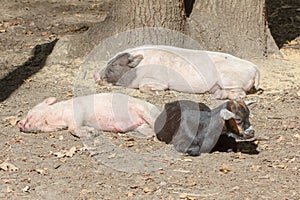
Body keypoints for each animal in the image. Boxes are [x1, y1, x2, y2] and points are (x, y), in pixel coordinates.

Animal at [17, 92, 161, 138]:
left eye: (29, 114)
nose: (18, 123)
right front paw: (93, 132)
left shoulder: (77, 112)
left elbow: (73, 128)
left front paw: (93, 133)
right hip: (140, 126)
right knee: (149, 132)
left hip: (143, 109)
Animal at [95, 44, 258, 99]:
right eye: (109, 61)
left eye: (115, 65)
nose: (95, 75)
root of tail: (254, 67)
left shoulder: (156, 79)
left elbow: (144, 87)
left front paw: (157, 93)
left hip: (230, 80)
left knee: (240, 94)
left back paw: (218, 96)